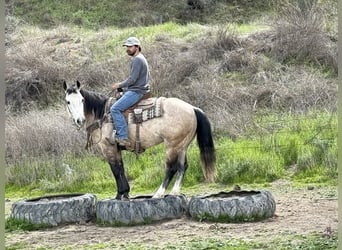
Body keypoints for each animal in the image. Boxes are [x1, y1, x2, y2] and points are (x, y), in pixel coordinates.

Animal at [62, 81, 215, 200]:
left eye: (82, 100)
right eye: (68, 101)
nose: (79, 120)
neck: (101, 115)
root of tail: (192, 108)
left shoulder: (108, 148)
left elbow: (115, 170)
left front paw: (119, 195)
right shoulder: (116, 148)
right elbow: (121, 168)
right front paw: (125, 193)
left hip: (172, 145)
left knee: (171, 168)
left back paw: (158, 194)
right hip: (182, 145)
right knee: (183, 166)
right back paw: (175, 192)